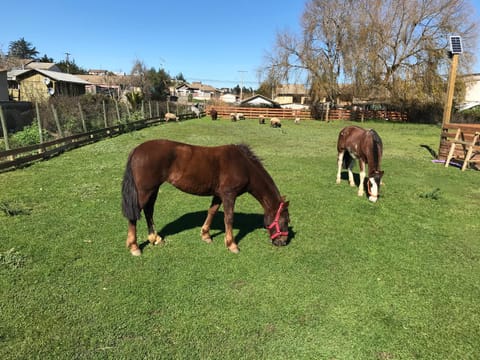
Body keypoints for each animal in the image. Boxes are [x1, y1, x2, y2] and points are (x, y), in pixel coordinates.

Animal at [122, 139, 290, 255]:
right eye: (285, 221)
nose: (282, 242)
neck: (244, 166)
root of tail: (136, 150)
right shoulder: (229, 195)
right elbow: (229, 218)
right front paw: (232, 245)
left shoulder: (219, 195)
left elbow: (212, 212)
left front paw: (206, 235)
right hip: (144, 191)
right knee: (134, 215)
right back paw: (134, 247)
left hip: (153, 189)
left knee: (149, 210)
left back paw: (155, 238)